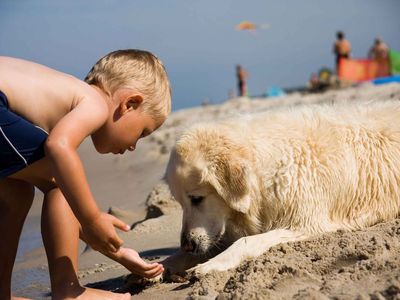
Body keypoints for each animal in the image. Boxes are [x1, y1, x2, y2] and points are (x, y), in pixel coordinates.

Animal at [164, 100, 400, 274]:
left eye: (197, 198)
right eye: (181, 204)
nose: (187, 244)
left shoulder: (307, 224)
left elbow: (247, 242)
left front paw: (212, 265)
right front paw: (162, 266)